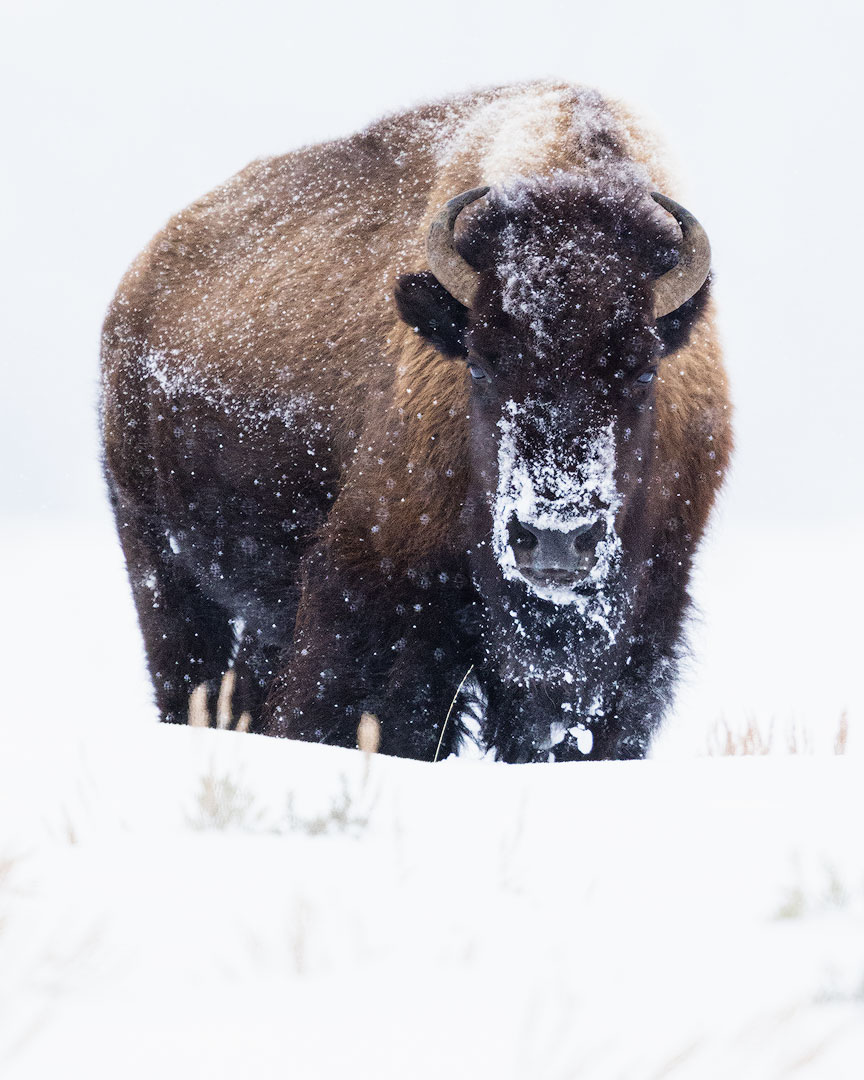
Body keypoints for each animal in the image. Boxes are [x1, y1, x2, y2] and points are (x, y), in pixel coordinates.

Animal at [101, 79, 730, 760]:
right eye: (480, 363)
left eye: (643, 370)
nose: (556, 538)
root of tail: (137, 285)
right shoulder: (369, 601)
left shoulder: (643, 625)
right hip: (157, 560)